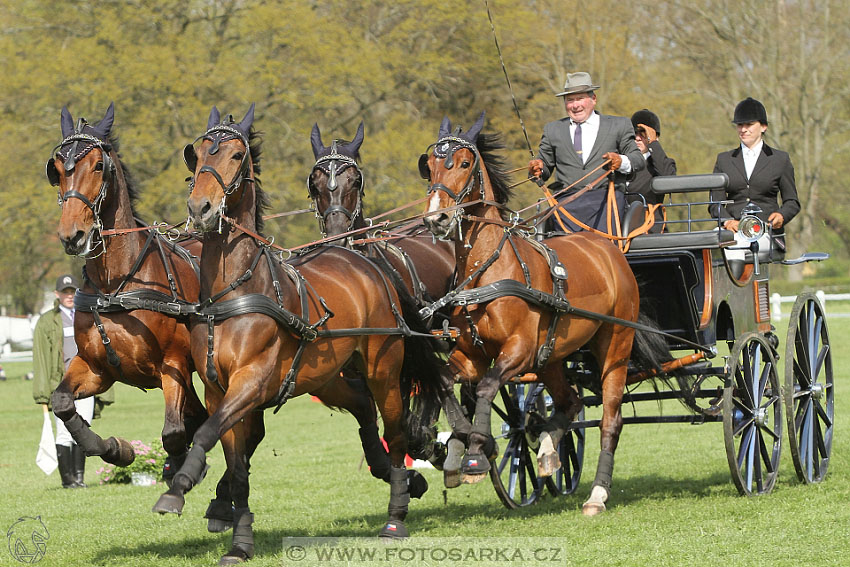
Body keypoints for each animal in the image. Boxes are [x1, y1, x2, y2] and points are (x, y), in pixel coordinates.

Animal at [46, 103, 205, 480]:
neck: (115, 285)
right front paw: (117, 449)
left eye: (98, 165)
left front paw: (175, 468)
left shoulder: (174, 366)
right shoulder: (97, 368)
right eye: (56, 168)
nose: (72, 235)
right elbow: (62, 402)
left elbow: (174, 431)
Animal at [153, 106, 440, 564]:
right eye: (197, 155)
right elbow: (235, 464)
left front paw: (179, 487)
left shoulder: (251, 383)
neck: (234, 291)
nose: (201, 207)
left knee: (396, 432)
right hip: (325, 376)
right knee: (362, 407)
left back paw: (396, 515)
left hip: (382, 368)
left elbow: (205, 432)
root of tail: (368, 262)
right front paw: (240, 541)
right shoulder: (219, 390)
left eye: (236, 155)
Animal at [420, 113, 672, 516]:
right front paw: (460, 444)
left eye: (464, 163)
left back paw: (597, 494)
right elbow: (447, 382)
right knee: (570, 401)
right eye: (428, 165)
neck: (489, 269)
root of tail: (610, 249)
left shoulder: (519, 350)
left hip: (614, 347)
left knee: (611, 420)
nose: (437, 218)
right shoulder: (472, 354)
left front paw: (475, 453)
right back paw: (550, 450)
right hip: (552, 357)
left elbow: (487, 387)